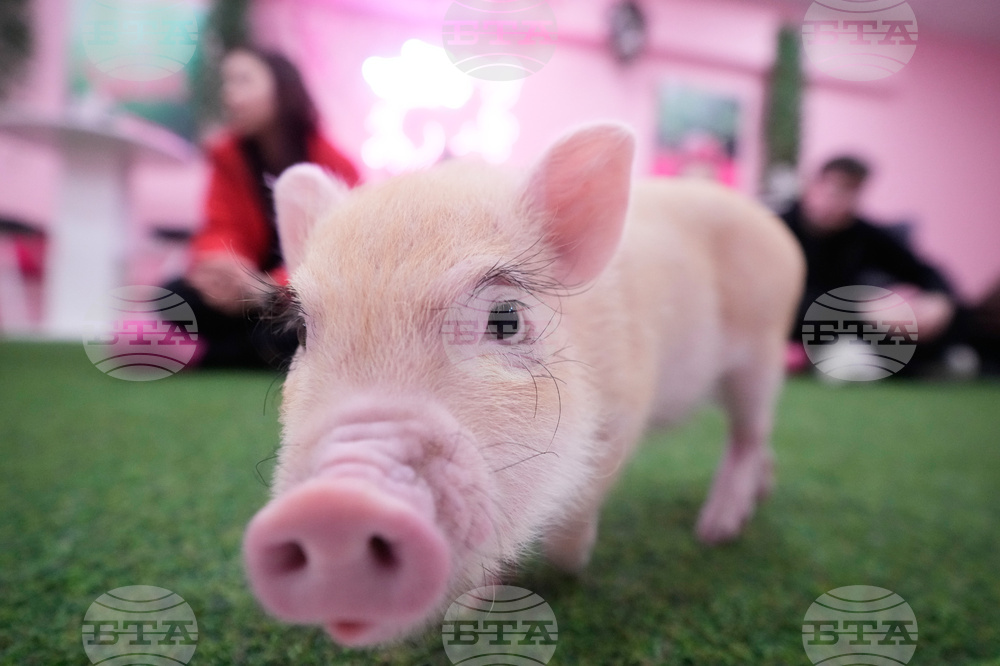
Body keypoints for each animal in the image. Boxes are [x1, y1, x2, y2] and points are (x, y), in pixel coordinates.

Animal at [242, 124, 804, 647]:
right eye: (300, 332)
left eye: (506, 319)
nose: (334, 507)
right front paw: (468, 612)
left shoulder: (626, 407)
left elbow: (574, 514)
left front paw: (567, 568)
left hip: (763, 348)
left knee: (748, 434)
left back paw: (715, 532)